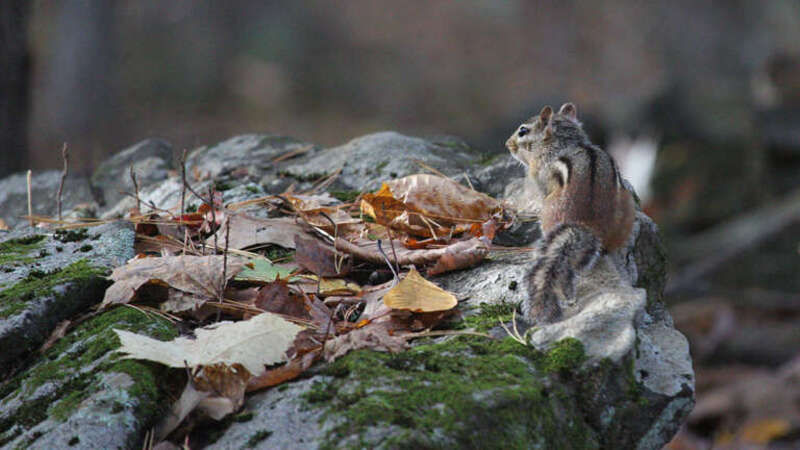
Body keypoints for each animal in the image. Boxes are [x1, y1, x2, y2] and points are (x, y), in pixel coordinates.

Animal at [505, 103, 635, 323]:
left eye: (523, 131)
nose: (508, 144)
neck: (566, 142)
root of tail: (584, 226)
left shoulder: (539, 176)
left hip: (548, 216)